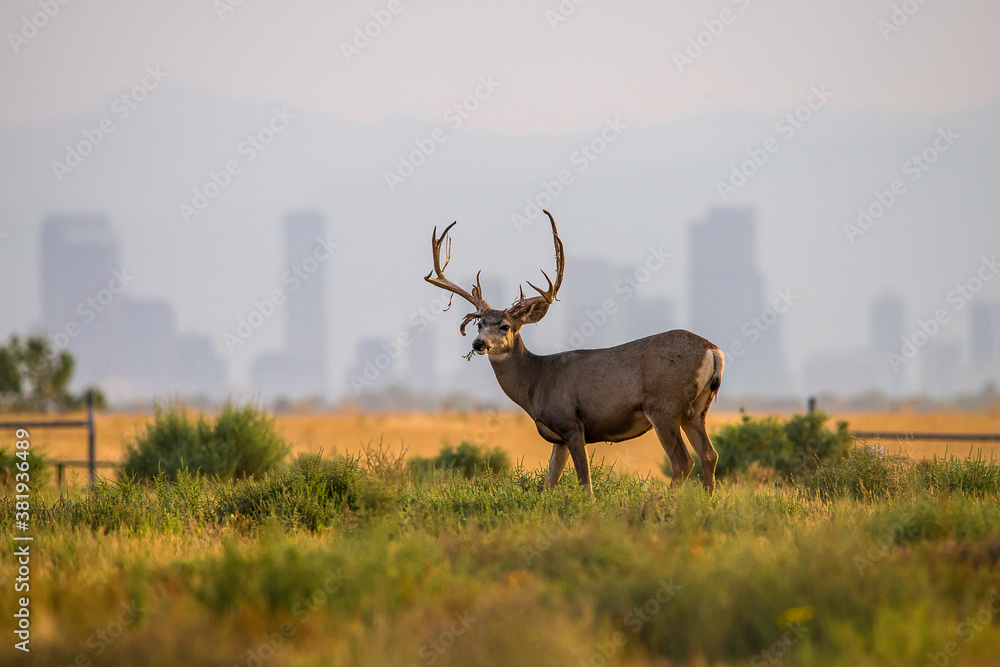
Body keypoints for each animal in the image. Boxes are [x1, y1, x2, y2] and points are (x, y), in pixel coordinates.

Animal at [424, 211, 724, 495]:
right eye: (479, 324)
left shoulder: (572, 423)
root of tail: (713, 351)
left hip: (664, 406)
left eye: (505, 326)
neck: (536, 382)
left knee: (683, 462)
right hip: (696, 410)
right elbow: (549, 483)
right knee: (709, 455)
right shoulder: (558, 437)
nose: (478, 344)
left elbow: (585, 482)